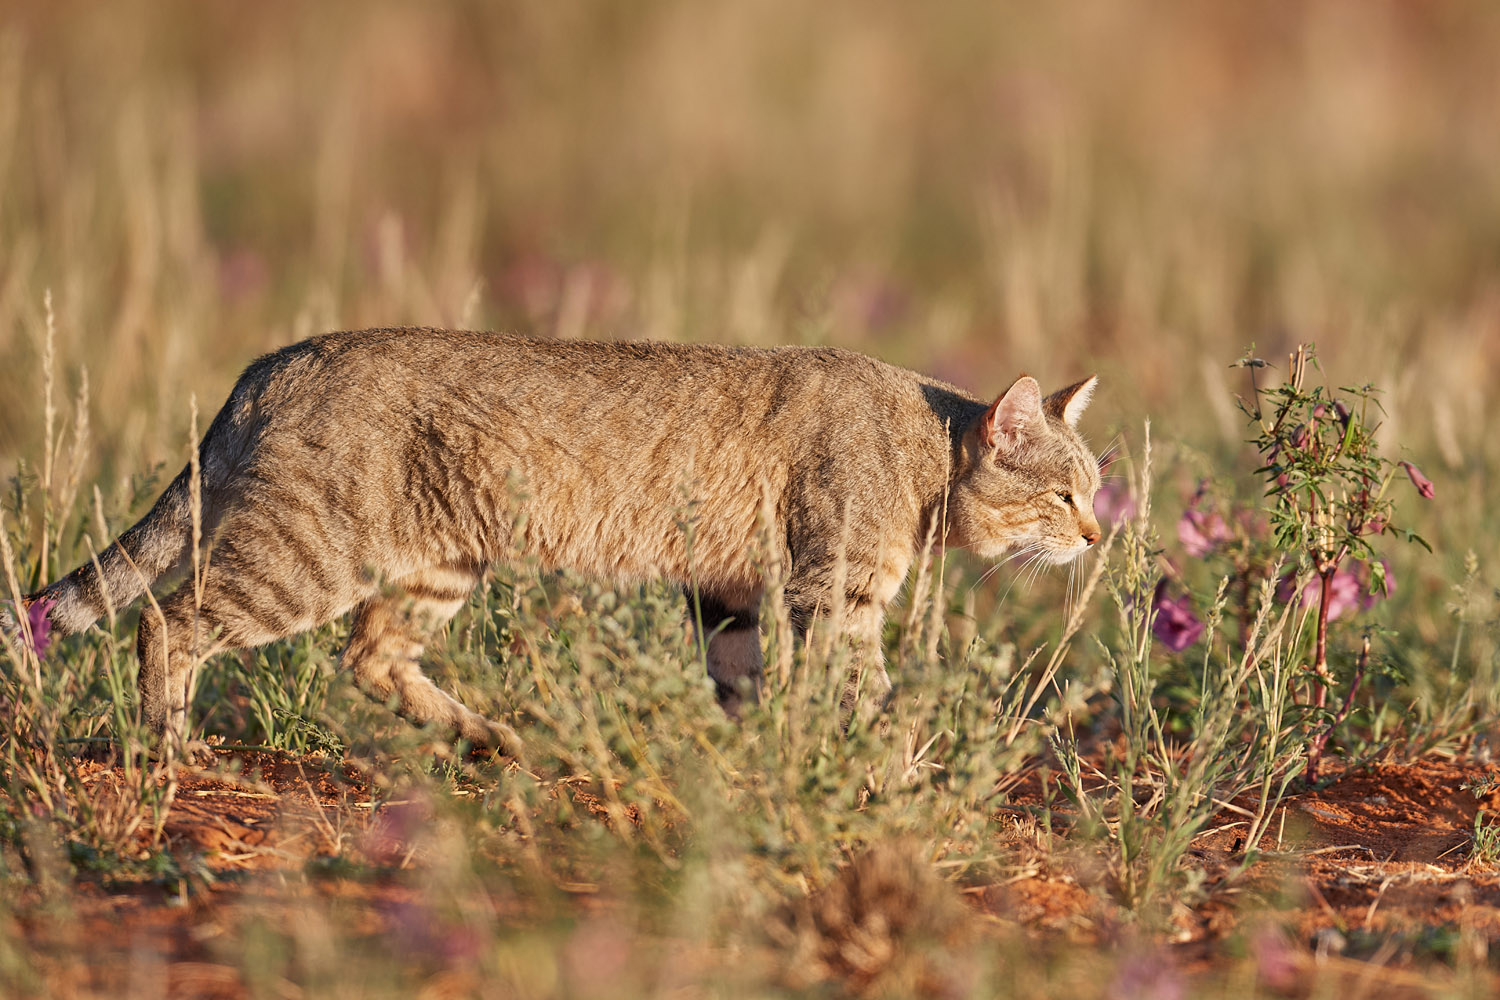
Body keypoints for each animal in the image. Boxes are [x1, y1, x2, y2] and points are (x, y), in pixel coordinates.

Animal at [2, 328, 1104, 758]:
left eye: (1095, 489)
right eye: (1064, 494)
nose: (1099, 533)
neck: (924, 457)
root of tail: (277, 357)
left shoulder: (735, 595)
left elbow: (751, 689)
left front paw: (758, 762)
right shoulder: (833, 593)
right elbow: (865, 695)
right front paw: (894, 765)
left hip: (438, 564)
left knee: (369, 657)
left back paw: (490, 736)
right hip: (306, 555)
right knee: (166, 618)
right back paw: (168, 749)